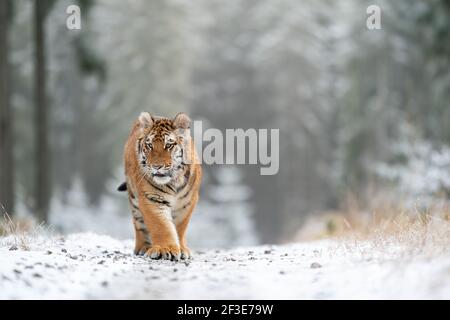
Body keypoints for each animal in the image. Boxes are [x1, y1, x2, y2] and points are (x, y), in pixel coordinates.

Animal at [119, 112, 204, 260]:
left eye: (169, 145)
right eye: (149, 145)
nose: (156, 166)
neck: (174, 181)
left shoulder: (188, 202)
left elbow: (180, 227)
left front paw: (181, 249)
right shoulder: (151, 198)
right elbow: (161, 225)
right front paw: (166, 249)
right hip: (134, 199)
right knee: (139, 224)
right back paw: (143, 247)